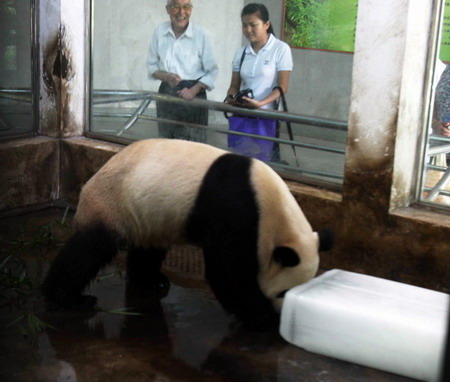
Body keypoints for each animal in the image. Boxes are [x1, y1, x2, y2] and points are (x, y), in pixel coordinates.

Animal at [44, 139, 332, 326]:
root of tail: (89, 183)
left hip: (148, 214)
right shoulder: (236, 210)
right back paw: (68, 298)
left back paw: (150, 280)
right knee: (89, 250)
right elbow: (226, 268)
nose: (285, 312)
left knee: (148, 249)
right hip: (112, 205)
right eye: (284, 292)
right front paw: (263, 315)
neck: (271, 207)